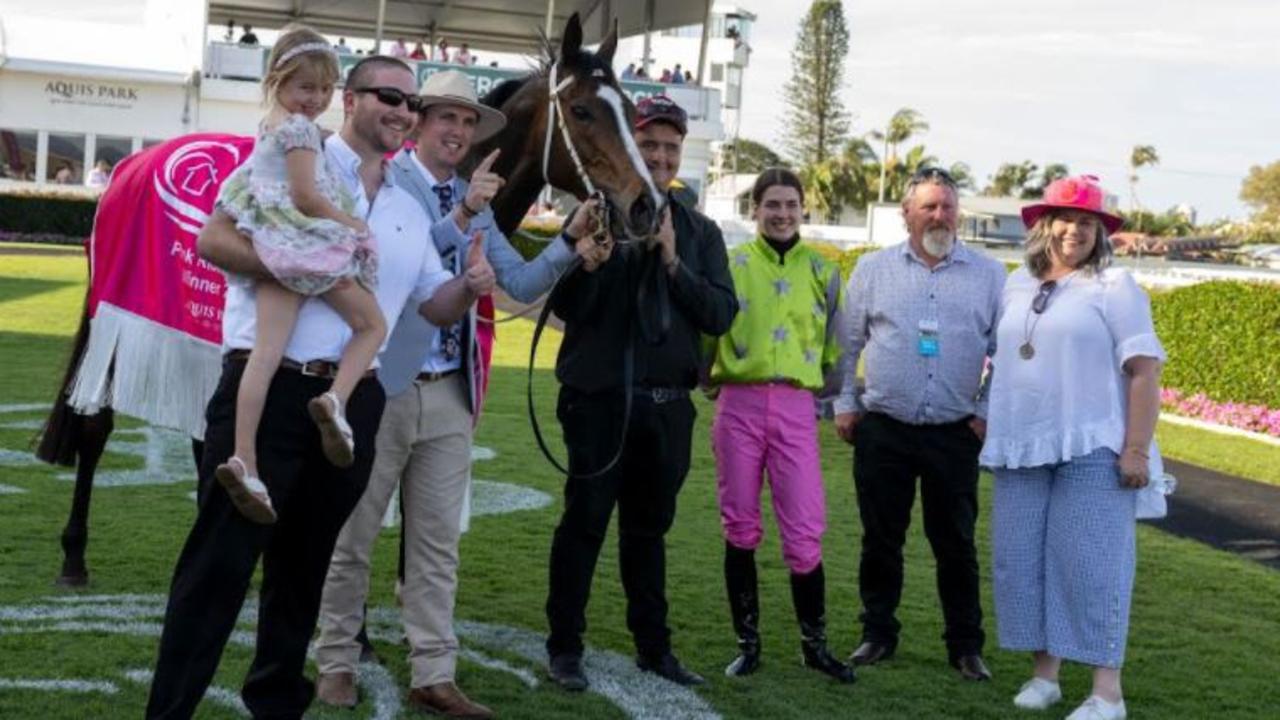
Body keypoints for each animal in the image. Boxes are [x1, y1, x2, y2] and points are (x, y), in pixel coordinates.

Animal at [35, 11, 660, 584]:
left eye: (630, 113)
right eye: (582, 110)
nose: (647, 205)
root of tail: (130, 165)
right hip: (116, 318)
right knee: (94, 427)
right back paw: (73, 554)